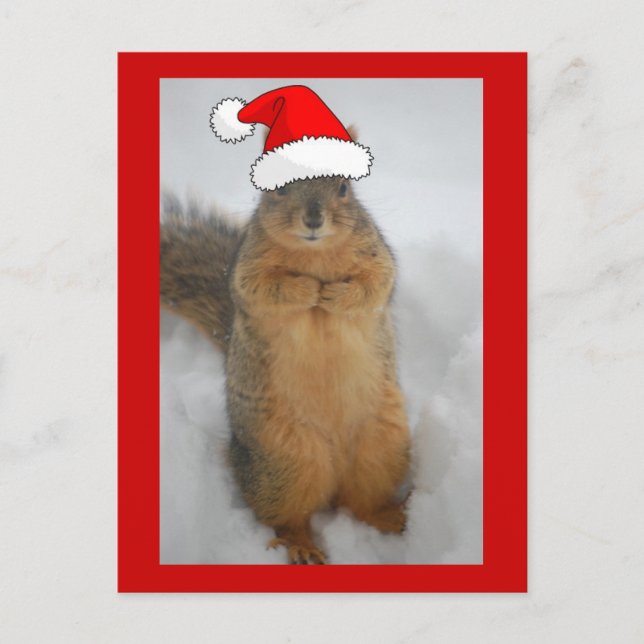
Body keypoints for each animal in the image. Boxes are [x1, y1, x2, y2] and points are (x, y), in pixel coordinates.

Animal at [160, 173, 411, 565]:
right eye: (276, 188)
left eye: (344, 188)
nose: (313, 219)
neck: (315, 253)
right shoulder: (248, 269)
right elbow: (263, 289)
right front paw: (308, 289)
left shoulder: (376, 256)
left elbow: (374, 285)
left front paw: (334, 295)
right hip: (284, 462)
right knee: (285, 517)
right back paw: (302, 546)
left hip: (383, 446)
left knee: (361, 503)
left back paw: (391, 517)